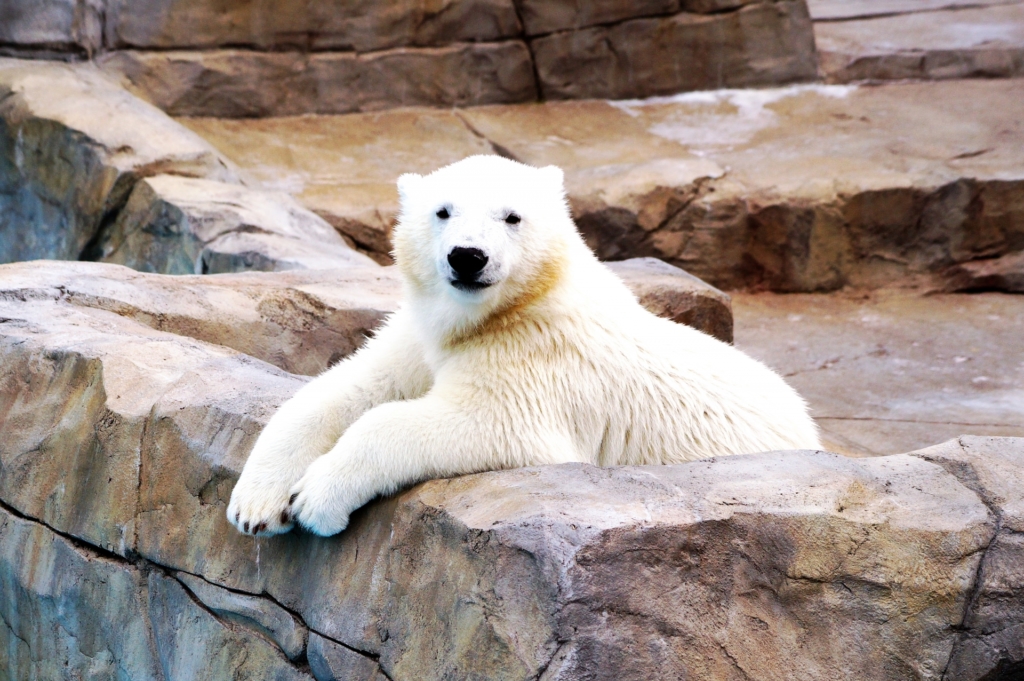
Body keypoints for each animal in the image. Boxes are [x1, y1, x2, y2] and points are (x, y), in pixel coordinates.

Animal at [228, 153, 819, 536]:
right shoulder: (421, 334)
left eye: (511, 217)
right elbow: (351, 386)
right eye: (442, 211)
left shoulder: (538, 358)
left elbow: (485, 422)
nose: (467, 257)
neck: (502, 311)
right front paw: (255, 504)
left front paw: (314, 497)